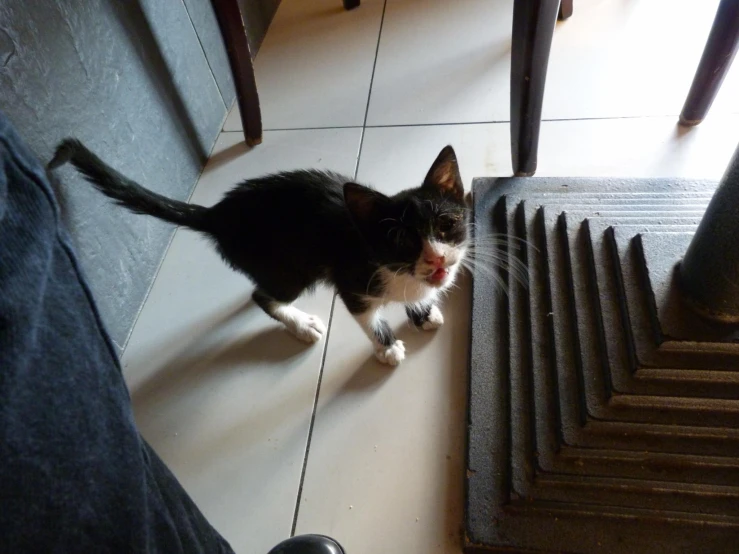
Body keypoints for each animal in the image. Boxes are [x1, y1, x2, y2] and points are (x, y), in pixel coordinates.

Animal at [49, 140, 468, 364]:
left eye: (446, 226)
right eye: (403, 240)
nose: (436, 258)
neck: (393, 267)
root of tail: (218, 214)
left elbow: (417, 294)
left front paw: (423, 311)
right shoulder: (352, 280)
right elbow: (367, 318)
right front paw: (388, 348)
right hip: (290, 269)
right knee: (261, 295)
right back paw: (301, 323)